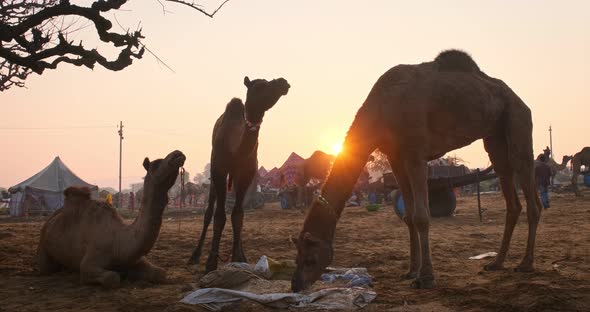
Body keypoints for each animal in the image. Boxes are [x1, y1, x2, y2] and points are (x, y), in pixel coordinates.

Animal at [37, 151, 185, 288]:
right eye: (157, 164)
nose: (178, 154)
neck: (118, 241)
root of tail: (49, 221)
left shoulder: (135, 258)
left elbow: (161, 273)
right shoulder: (88, 263)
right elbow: (112, 278)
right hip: (43, 248)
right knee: (45, 268)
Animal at [188, 76, 292, 272]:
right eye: (259, 86)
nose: (283, 82)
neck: (235, 148)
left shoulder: (246, 174)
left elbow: (238, 216)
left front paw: (239, 257)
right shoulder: (219, 171)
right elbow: (219, 216)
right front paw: (211, 262)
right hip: (214, 178)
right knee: (208, 212)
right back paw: (195, 255)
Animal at [292, 50, 544, 292]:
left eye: (310, 259)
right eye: (297, 257)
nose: (296, 285)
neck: (381, 108)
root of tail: (519, 99)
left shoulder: (415, 152)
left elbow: (422, 216)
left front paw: (426, 278)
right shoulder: (396, 157)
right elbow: (409, 216)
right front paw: (411, 271)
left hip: (518, 120)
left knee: (528, 186)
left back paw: (526, 264)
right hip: (494, 136)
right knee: (510, 192)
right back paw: (497, 262)